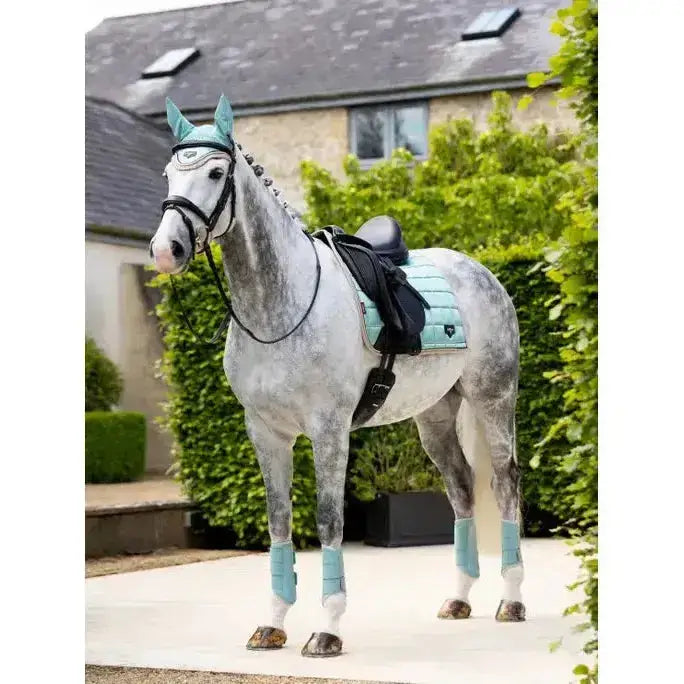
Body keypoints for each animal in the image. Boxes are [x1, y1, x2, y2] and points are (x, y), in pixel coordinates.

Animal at [150, 95, 525, 658]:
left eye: (216, 172)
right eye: (171, 172)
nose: (165, 249)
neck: (279, 308)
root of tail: (482, 274)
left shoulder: (328, 431)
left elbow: (329, 519)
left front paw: (326, 629)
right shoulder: (266, 432)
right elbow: (279, 520)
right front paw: (272, 624)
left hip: (494, 400)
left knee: (504, 483)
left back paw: (512, 601)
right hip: (436, 415)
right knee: (461, 489)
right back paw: (459, 599)